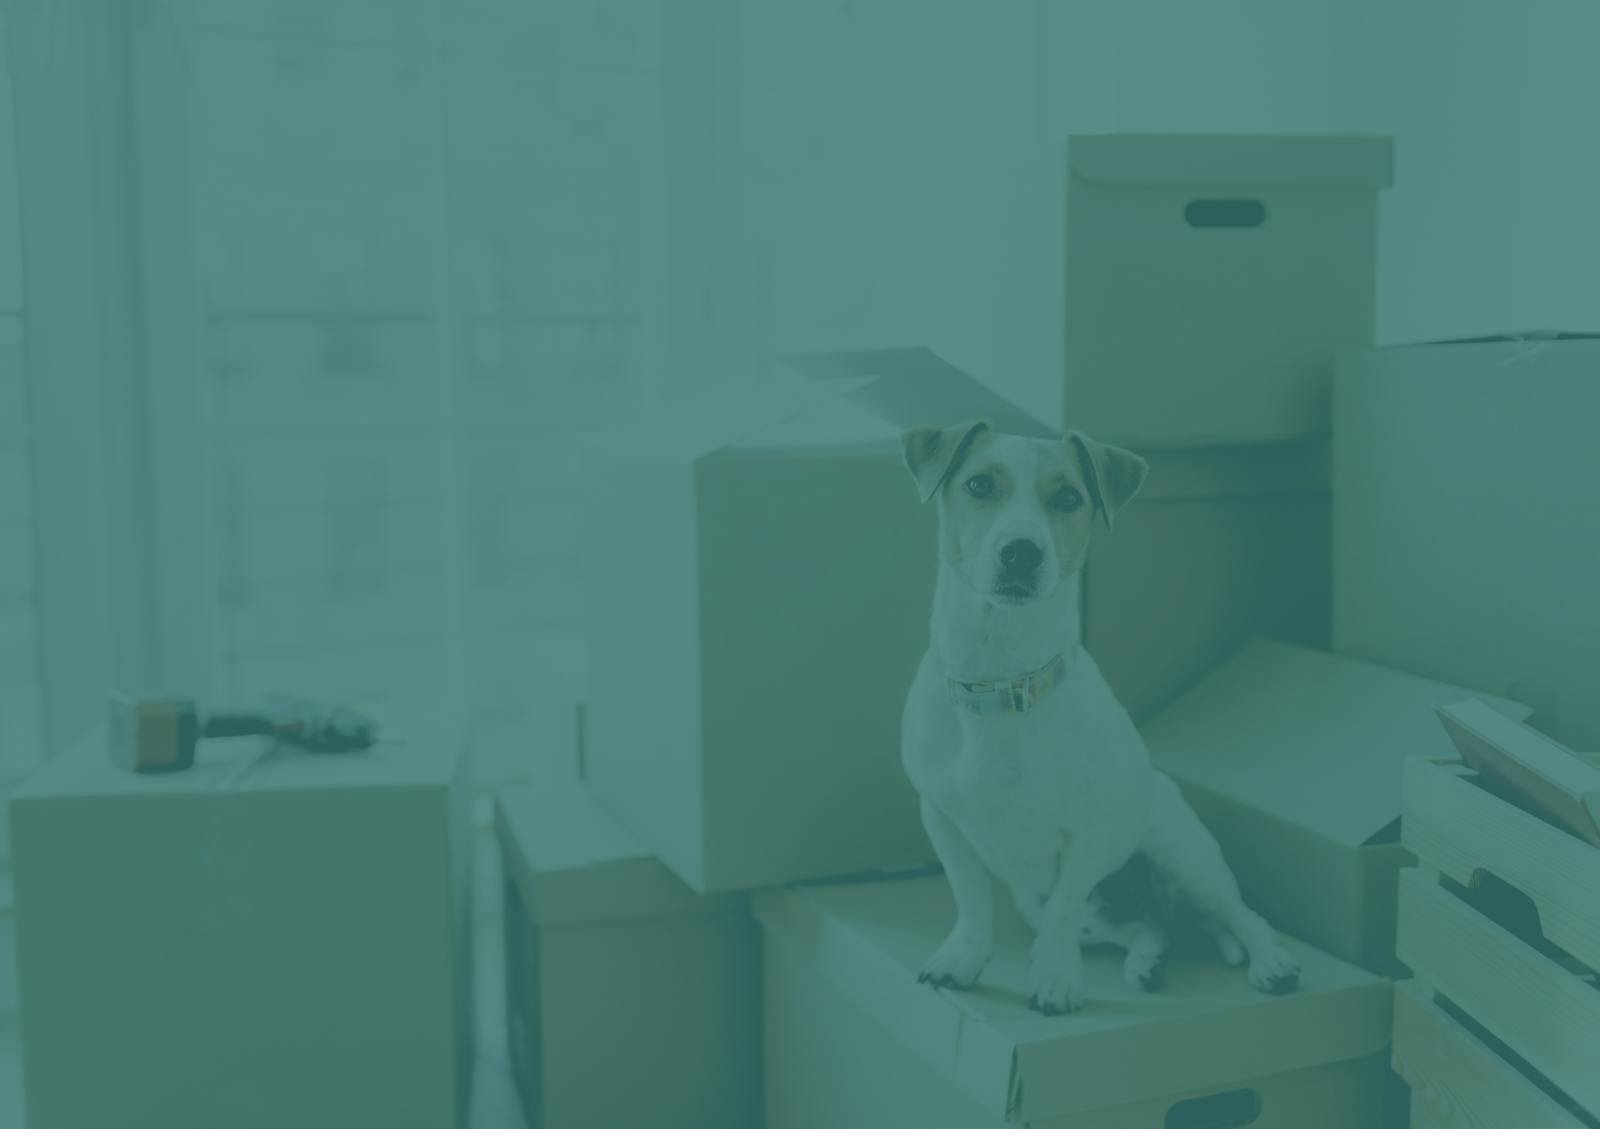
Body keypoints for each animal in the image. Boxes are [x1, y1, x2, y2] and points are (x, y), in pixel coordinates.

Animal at [902, 418, 1299, 1010]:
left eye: (1069, 497)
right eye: (979, 485)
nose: (1022, 552)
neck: (1001, 682)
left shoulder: (1088, 836)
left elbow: (1063, 913)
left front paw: (1054, 977)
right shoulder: (944, 820)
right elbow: (971, 901)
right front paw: (963, 960)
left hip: (1186, 858)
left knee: (1242, 916)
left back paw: (1272, 962)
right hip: (1046, 900)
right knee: (1145, 927)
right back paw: (1147, 960)